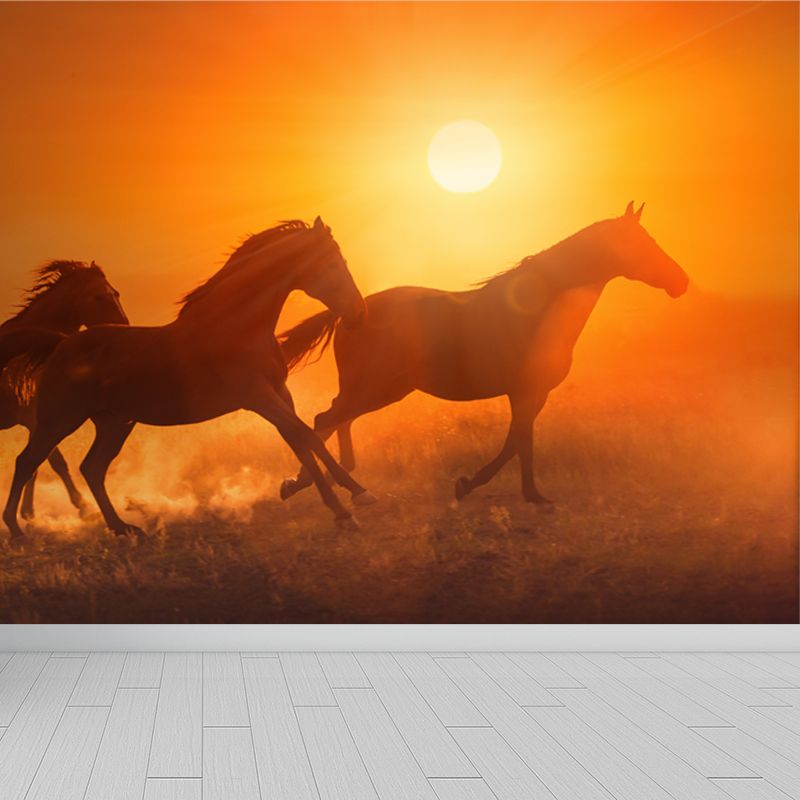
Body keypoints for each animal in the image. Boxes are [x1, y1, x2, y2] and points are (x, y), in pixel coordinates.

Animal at [0, 260, 129, 520]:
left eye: (116, 293)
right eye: (98, 296)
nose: (124, 328)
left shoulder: (37, 421)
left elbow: (39, 464)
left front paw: (27, 511)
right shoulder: (37, 419)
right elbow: (52, 461)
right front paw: (82, 504)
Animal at [279, 203, 689, 505]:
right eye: (642, 243)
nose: (681, 282)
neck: (539, 311)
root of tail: (353, 312)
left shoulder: (532, 394)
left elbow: (519, 442)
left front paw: (527, 493)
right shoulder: (525, 391)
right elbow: (515, 443)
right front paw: (474, 486)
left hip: (378, 389)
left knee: (335, 419)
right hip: (375, 388)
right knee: (326, 418)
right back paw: (310, 485)